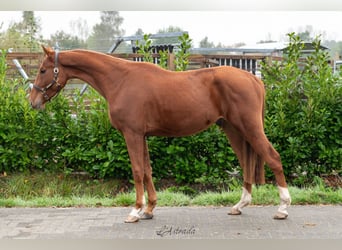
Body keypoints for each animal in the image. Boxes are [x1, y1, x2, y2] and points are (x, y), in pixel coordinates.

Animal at [30, 46, 292, 223]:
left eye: (43, 70)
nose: (33, 102)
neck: (120, 79)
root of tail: (253, 79)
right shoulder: (142, 135)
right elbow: (147, 170)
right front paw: (149, 209)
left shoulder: (132, 134)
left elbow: (137, 171)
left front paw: (135, 211)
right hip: (233, 129)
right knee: (247, 162)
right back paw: (240, 205)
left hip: (250, 128)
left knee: (273, 157)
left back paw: (283, 208)